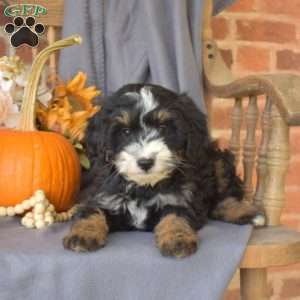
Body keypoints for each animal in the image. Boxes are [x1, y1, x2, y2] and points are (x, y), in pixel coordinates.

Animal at [63, 82, 264, 258]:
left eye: (163, 127)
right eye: (125, 132)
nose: (145, 162)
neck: (144, 187)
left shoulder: (181, 199)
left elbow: (175, 217)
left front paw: (177, 240)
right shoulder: (103, 197)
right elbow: (90, 213)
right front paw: (83, 235)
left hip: (216, 161)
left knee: (223, 198)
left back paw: (248, 212)